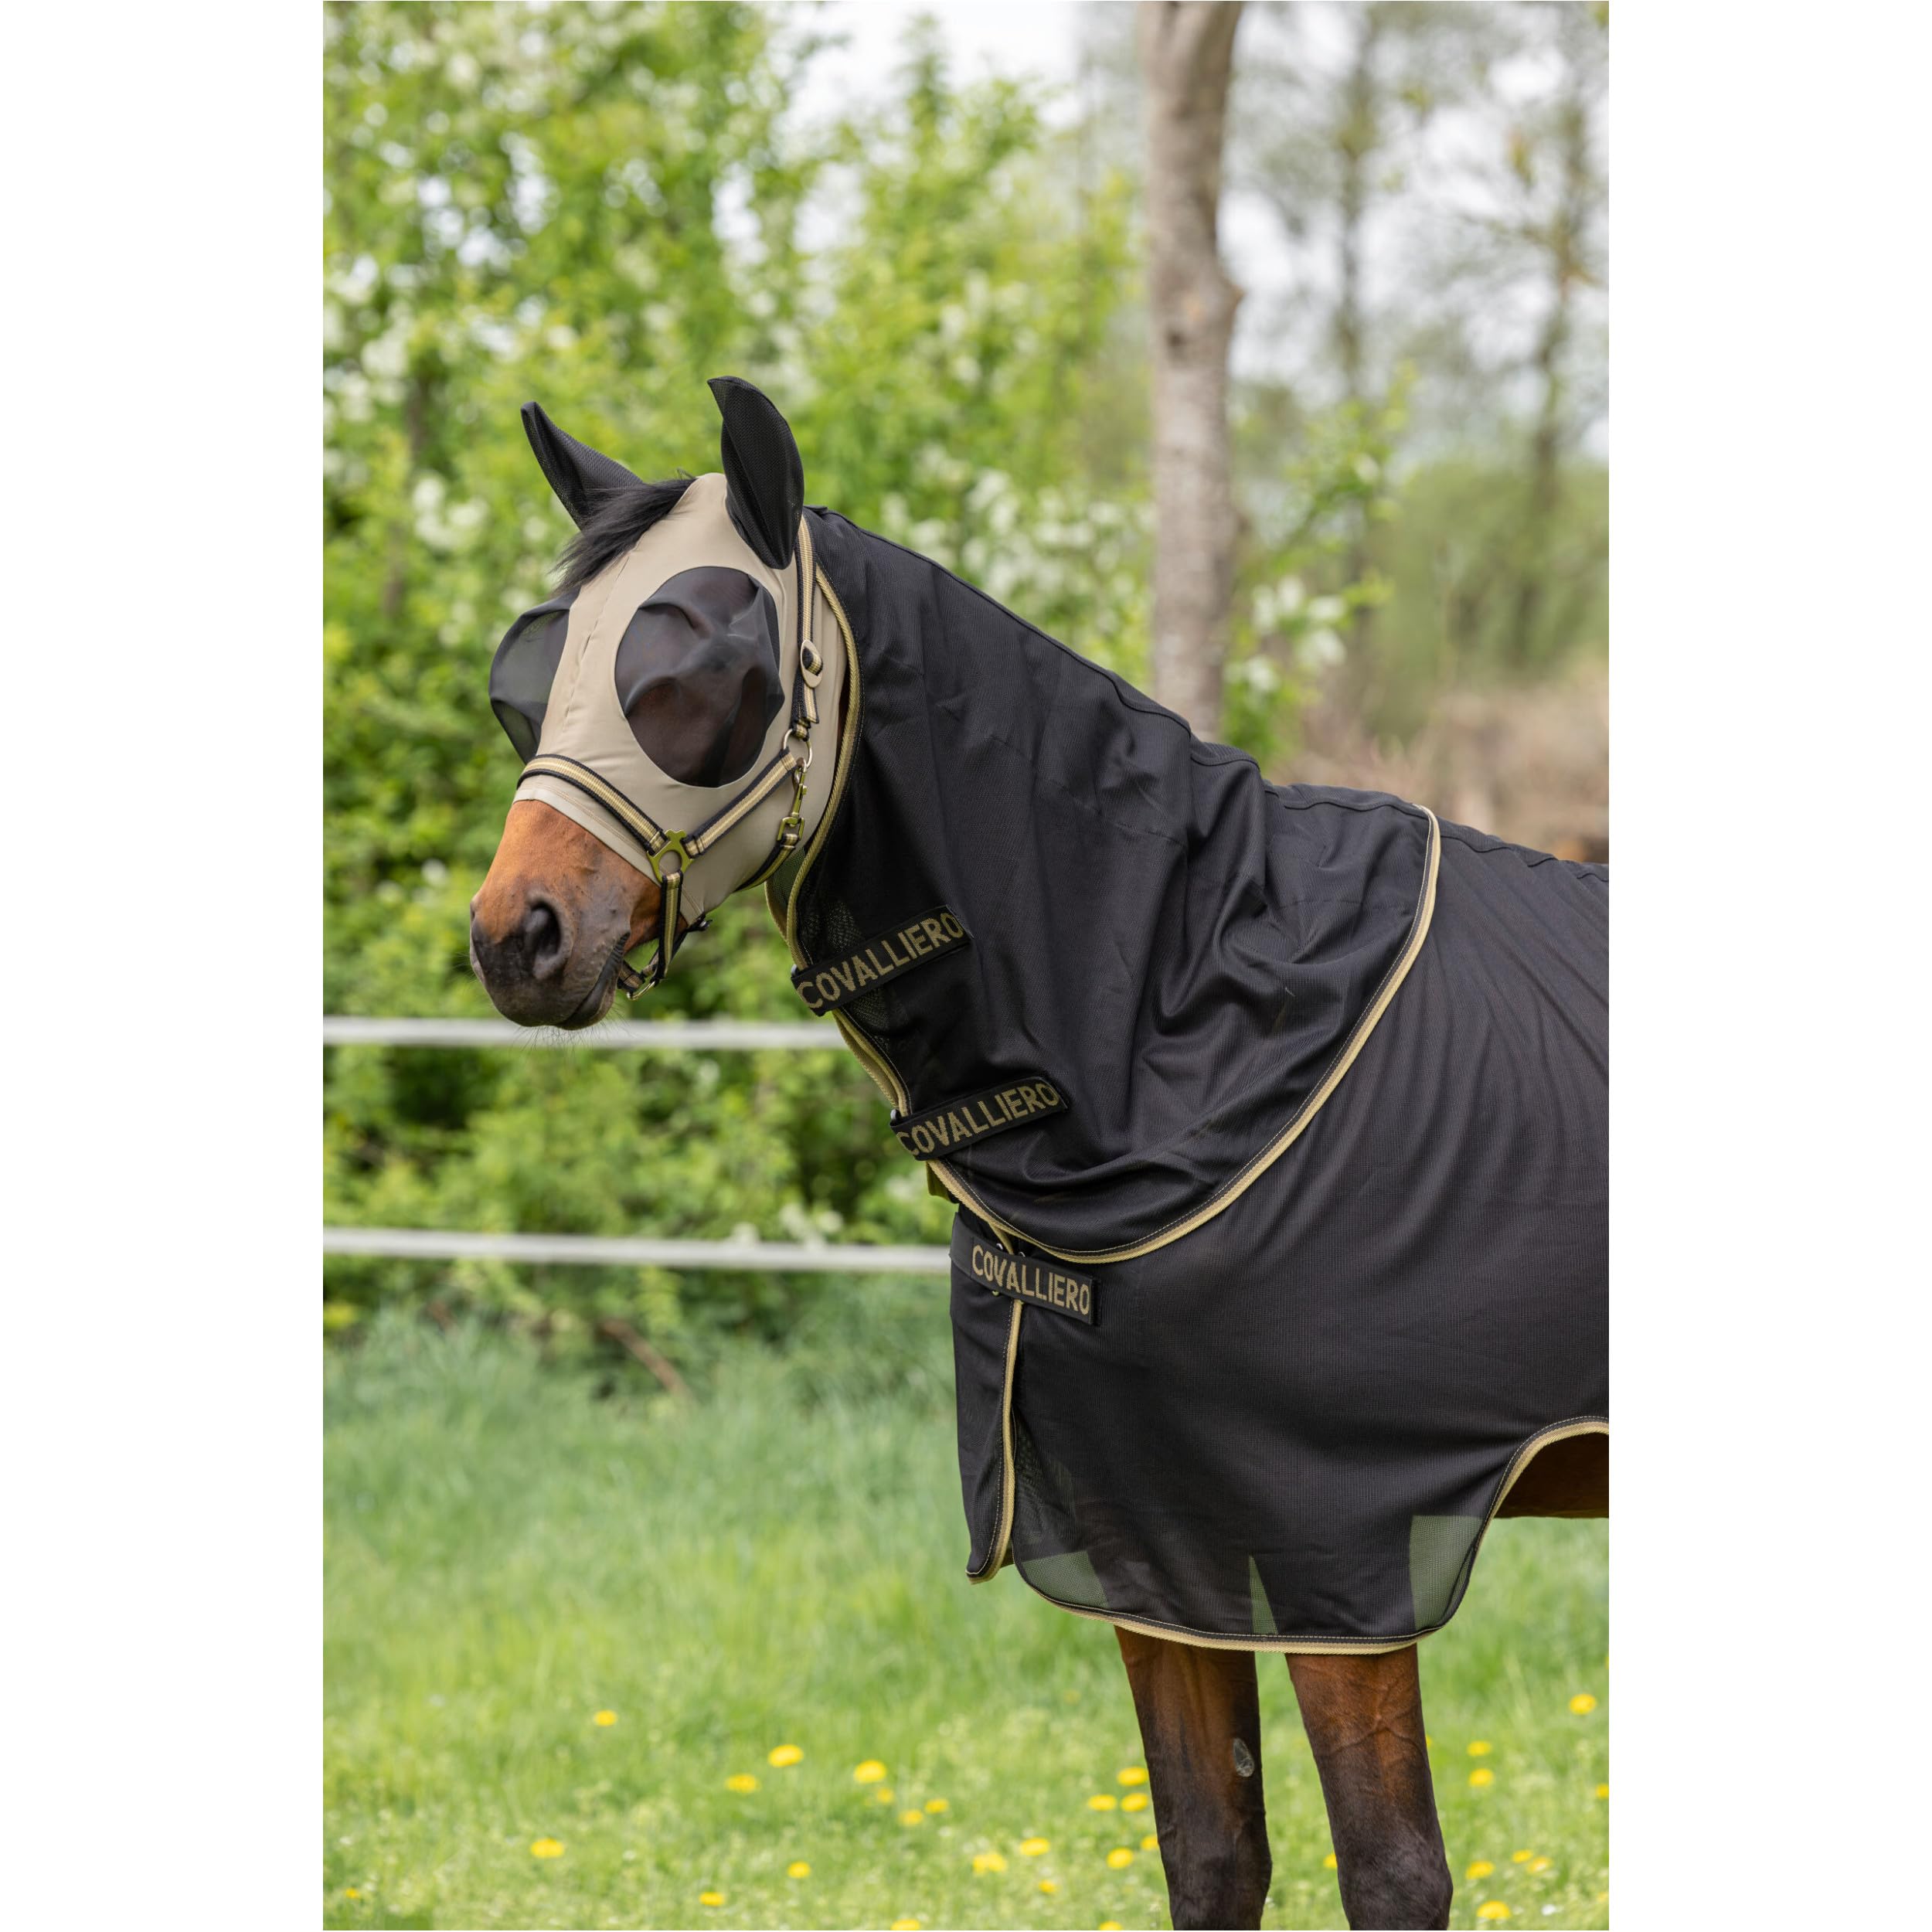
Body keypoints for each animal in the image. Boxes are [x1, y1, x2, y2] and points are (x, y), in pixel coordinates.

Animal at [469, 377, 1608, 1930]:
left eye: (697, 671)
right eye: (527, 678)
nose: (514, 937)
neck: (1206, 1013)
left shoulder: (1344, 1556)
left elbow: (1392, 1872)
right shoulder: (1153, 1539)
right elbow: (1211, 1854)